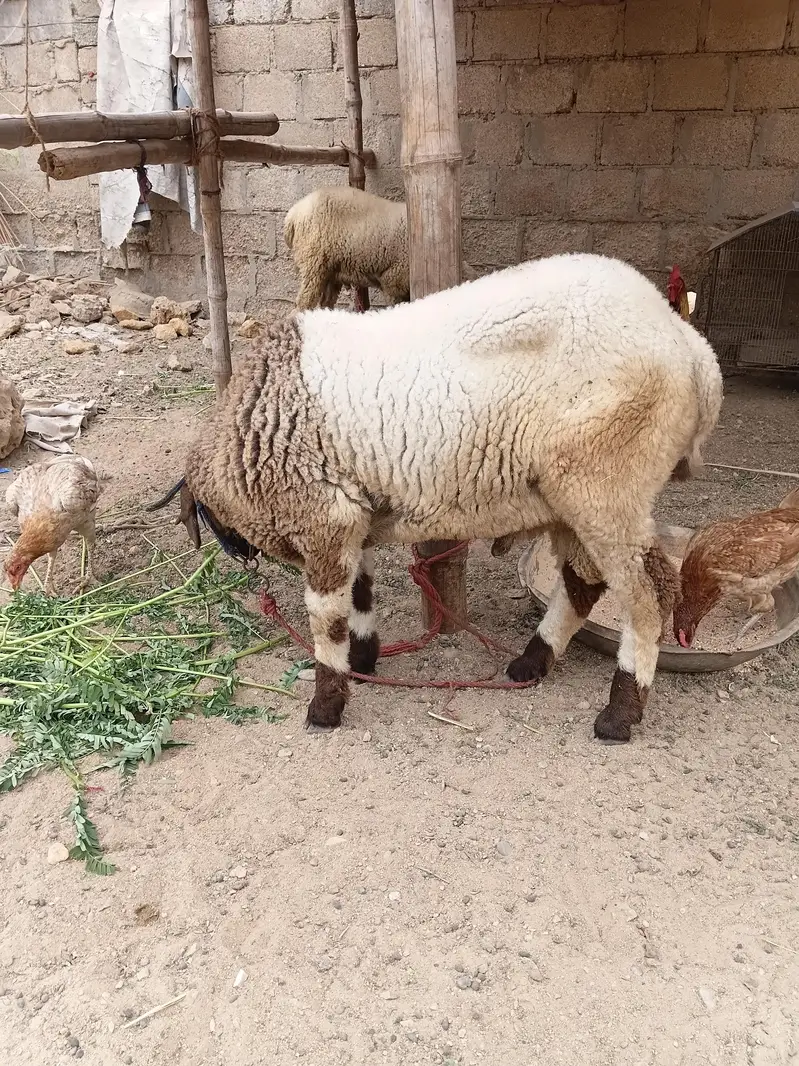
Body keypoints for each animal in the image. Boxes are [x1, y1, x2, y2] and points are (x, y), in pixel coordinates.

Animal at [173, 253, 723, 743]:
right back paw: (531, 662)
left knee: (649, 596)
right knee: (582, 586)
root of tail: (693, 349)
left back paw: (620, 712)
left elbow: (326, 620)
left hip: (606, 485)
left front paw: (327, 703)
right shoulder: (353, 517)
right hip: (577, 497)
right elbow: (361, 592)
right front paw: (363, 660)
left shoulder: (324, 519)